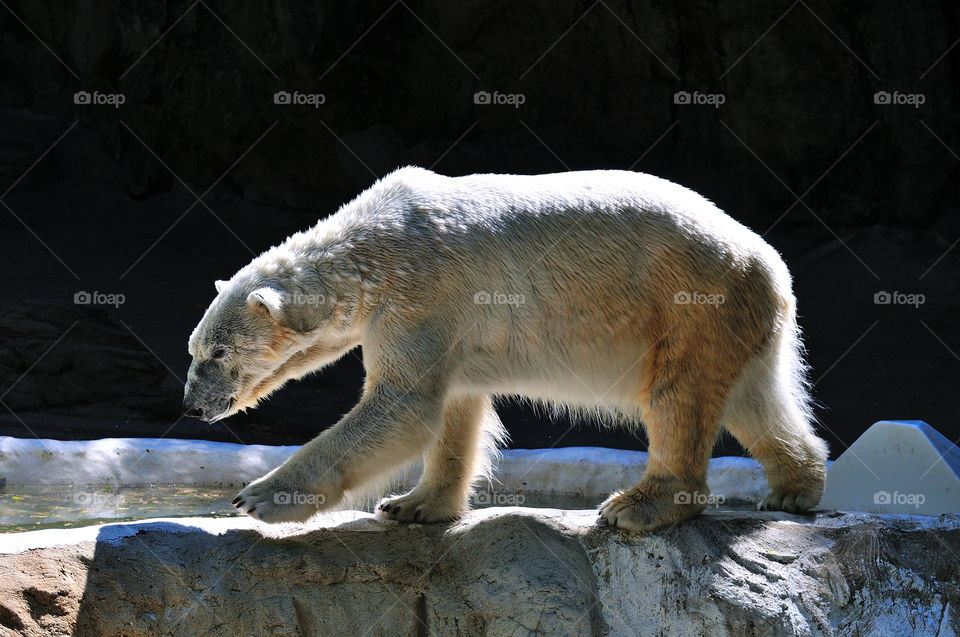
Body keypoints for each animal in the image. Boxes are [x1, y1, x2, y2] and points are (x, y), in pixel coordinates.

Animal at [183, 166, 828, 531]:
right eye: (196, 348)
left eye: (216, 354)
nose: (192, 404)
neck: (370, 250)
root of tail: (770, 265)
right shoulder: (446, 323)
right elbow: (454, 409)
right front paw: (413, 505)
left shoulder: (421, 292)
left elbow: (402, 406)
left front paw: (258, 497)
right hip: (734, 322)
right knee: (755, 400)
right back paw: (794, 488)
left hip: (686, 301)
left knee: (677, 397)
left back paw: (636, 506)